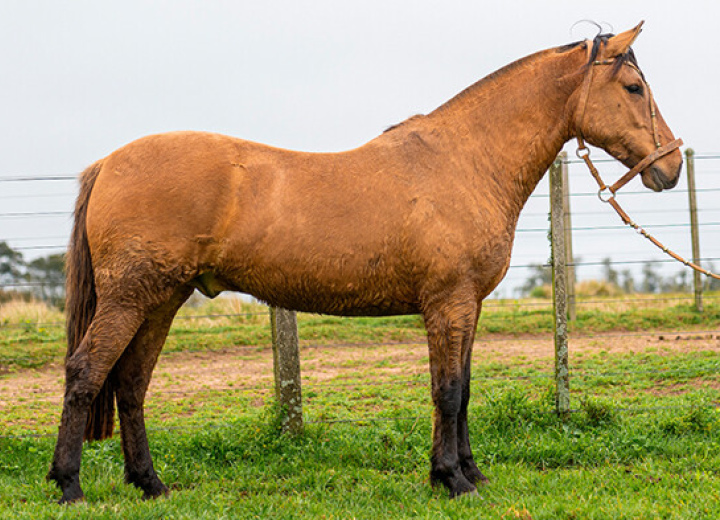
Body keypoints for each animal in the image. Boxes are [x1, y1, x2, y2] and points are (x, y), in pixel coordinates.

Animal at [49, 24, 680, 504]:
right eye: (632, 86)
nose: (669, 167)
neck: (464, 160)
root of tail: (108, 163)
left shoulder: (467, 305)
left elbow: (464, 389)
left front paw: (469, 472)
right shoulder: (447, 303)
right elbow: (447, 389)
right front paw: (451, 480)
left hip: (162, 299)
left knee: (130, 382)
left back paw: (150, 483)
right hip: (132, 297)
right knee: (86, 372)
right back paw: (69, 485)